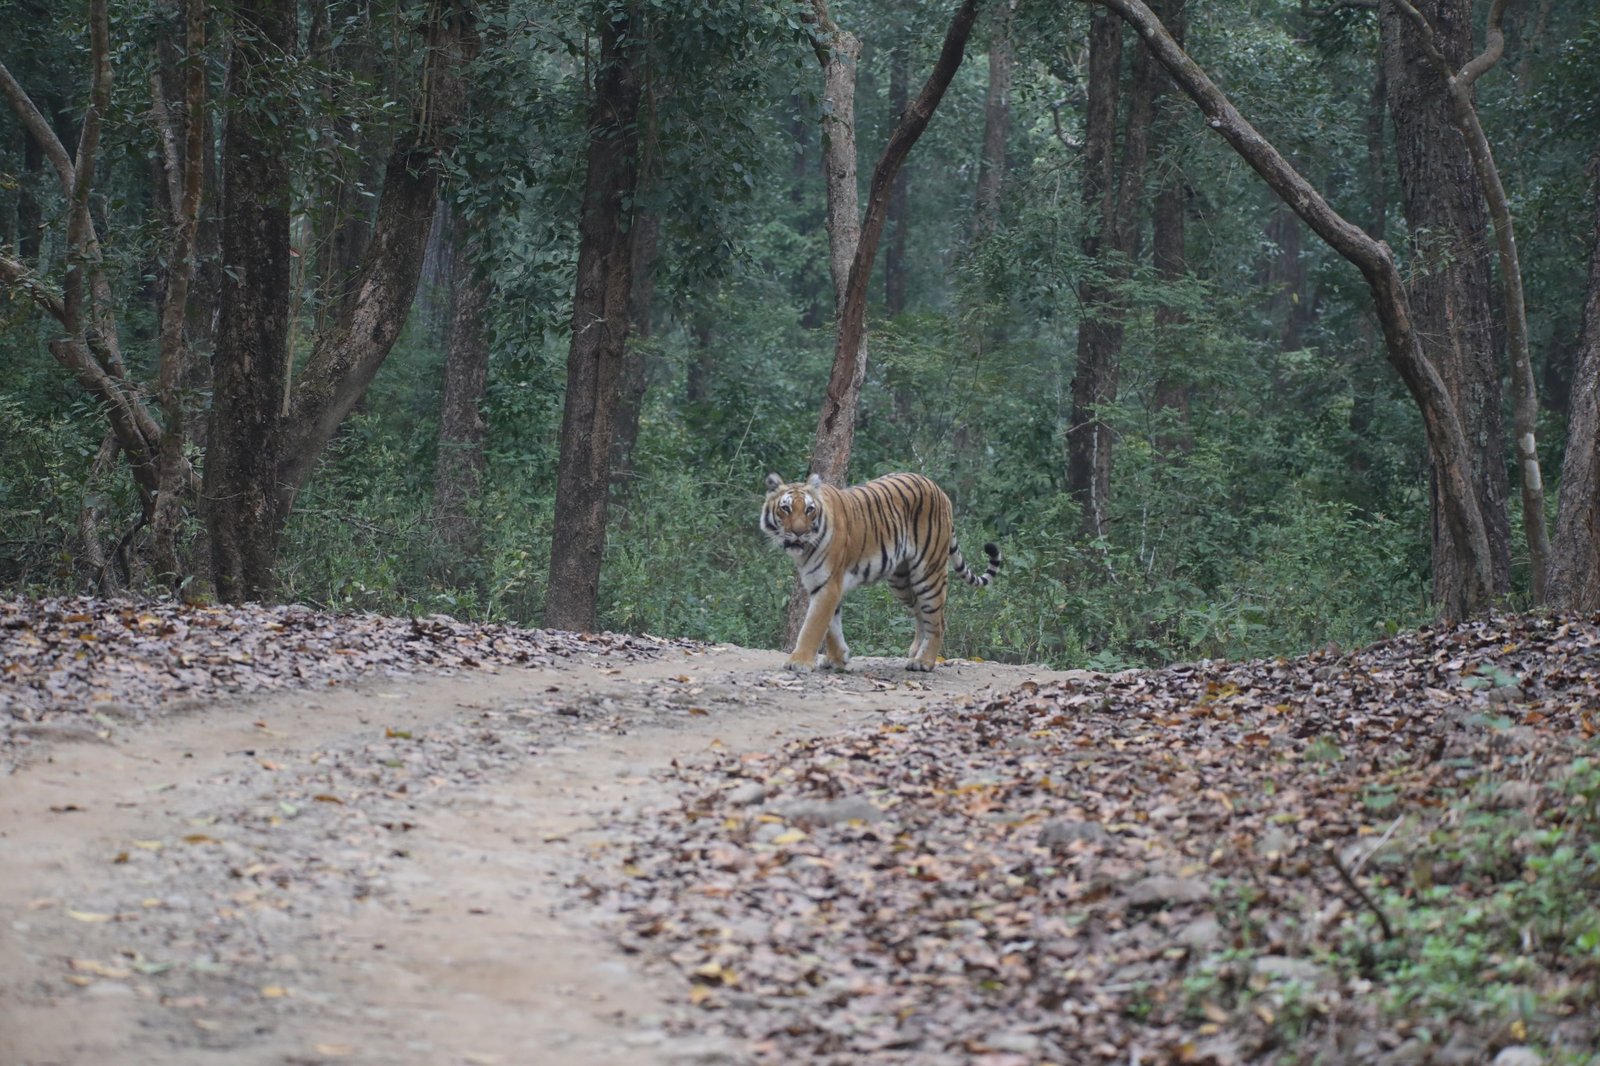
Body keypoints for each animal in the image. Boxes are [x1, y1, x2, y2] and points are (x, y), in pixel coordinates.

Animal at [761, 471, 1001, 673]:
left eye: (809, 509)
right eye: (786, 508)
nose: (798, 533)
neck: (804, 551)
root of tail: (939, 490)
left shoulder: (828, 585)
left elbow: (813, 626)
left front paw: (799, 662)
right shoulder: (822, 585)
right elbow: (831, 626)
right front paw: (837, 658)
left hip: (928, 572)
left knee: (937, 620)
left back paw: (923, 662)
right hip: (901, 581)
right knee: (920, 612)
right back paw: (916, 651)